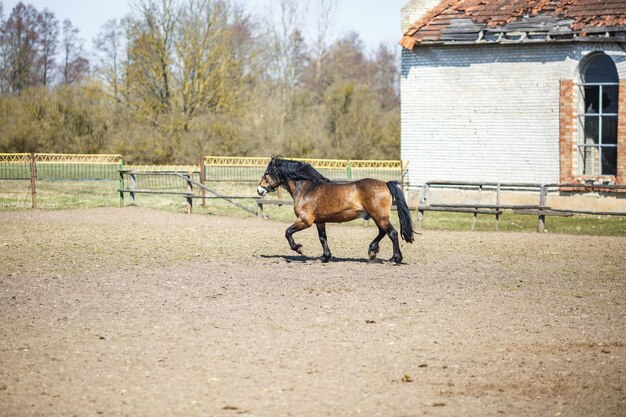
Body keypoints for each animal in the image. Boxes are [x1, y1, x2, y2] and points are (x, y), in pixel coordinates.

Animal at [258, 156, 414, 264]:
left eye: (267, 173)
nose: (259, 190)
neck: (306, 189)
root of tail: (386, 184)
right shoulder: (320, 221)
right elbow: (323, 238)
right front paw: (324, 257)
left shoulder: (305, 220)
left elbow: (287, 232)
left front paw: (299, 248)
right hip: (377, 216)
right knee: (383, 232)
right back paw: (372, 251)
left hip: (379, 216)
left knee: (392, 233)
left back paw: (394, 259)